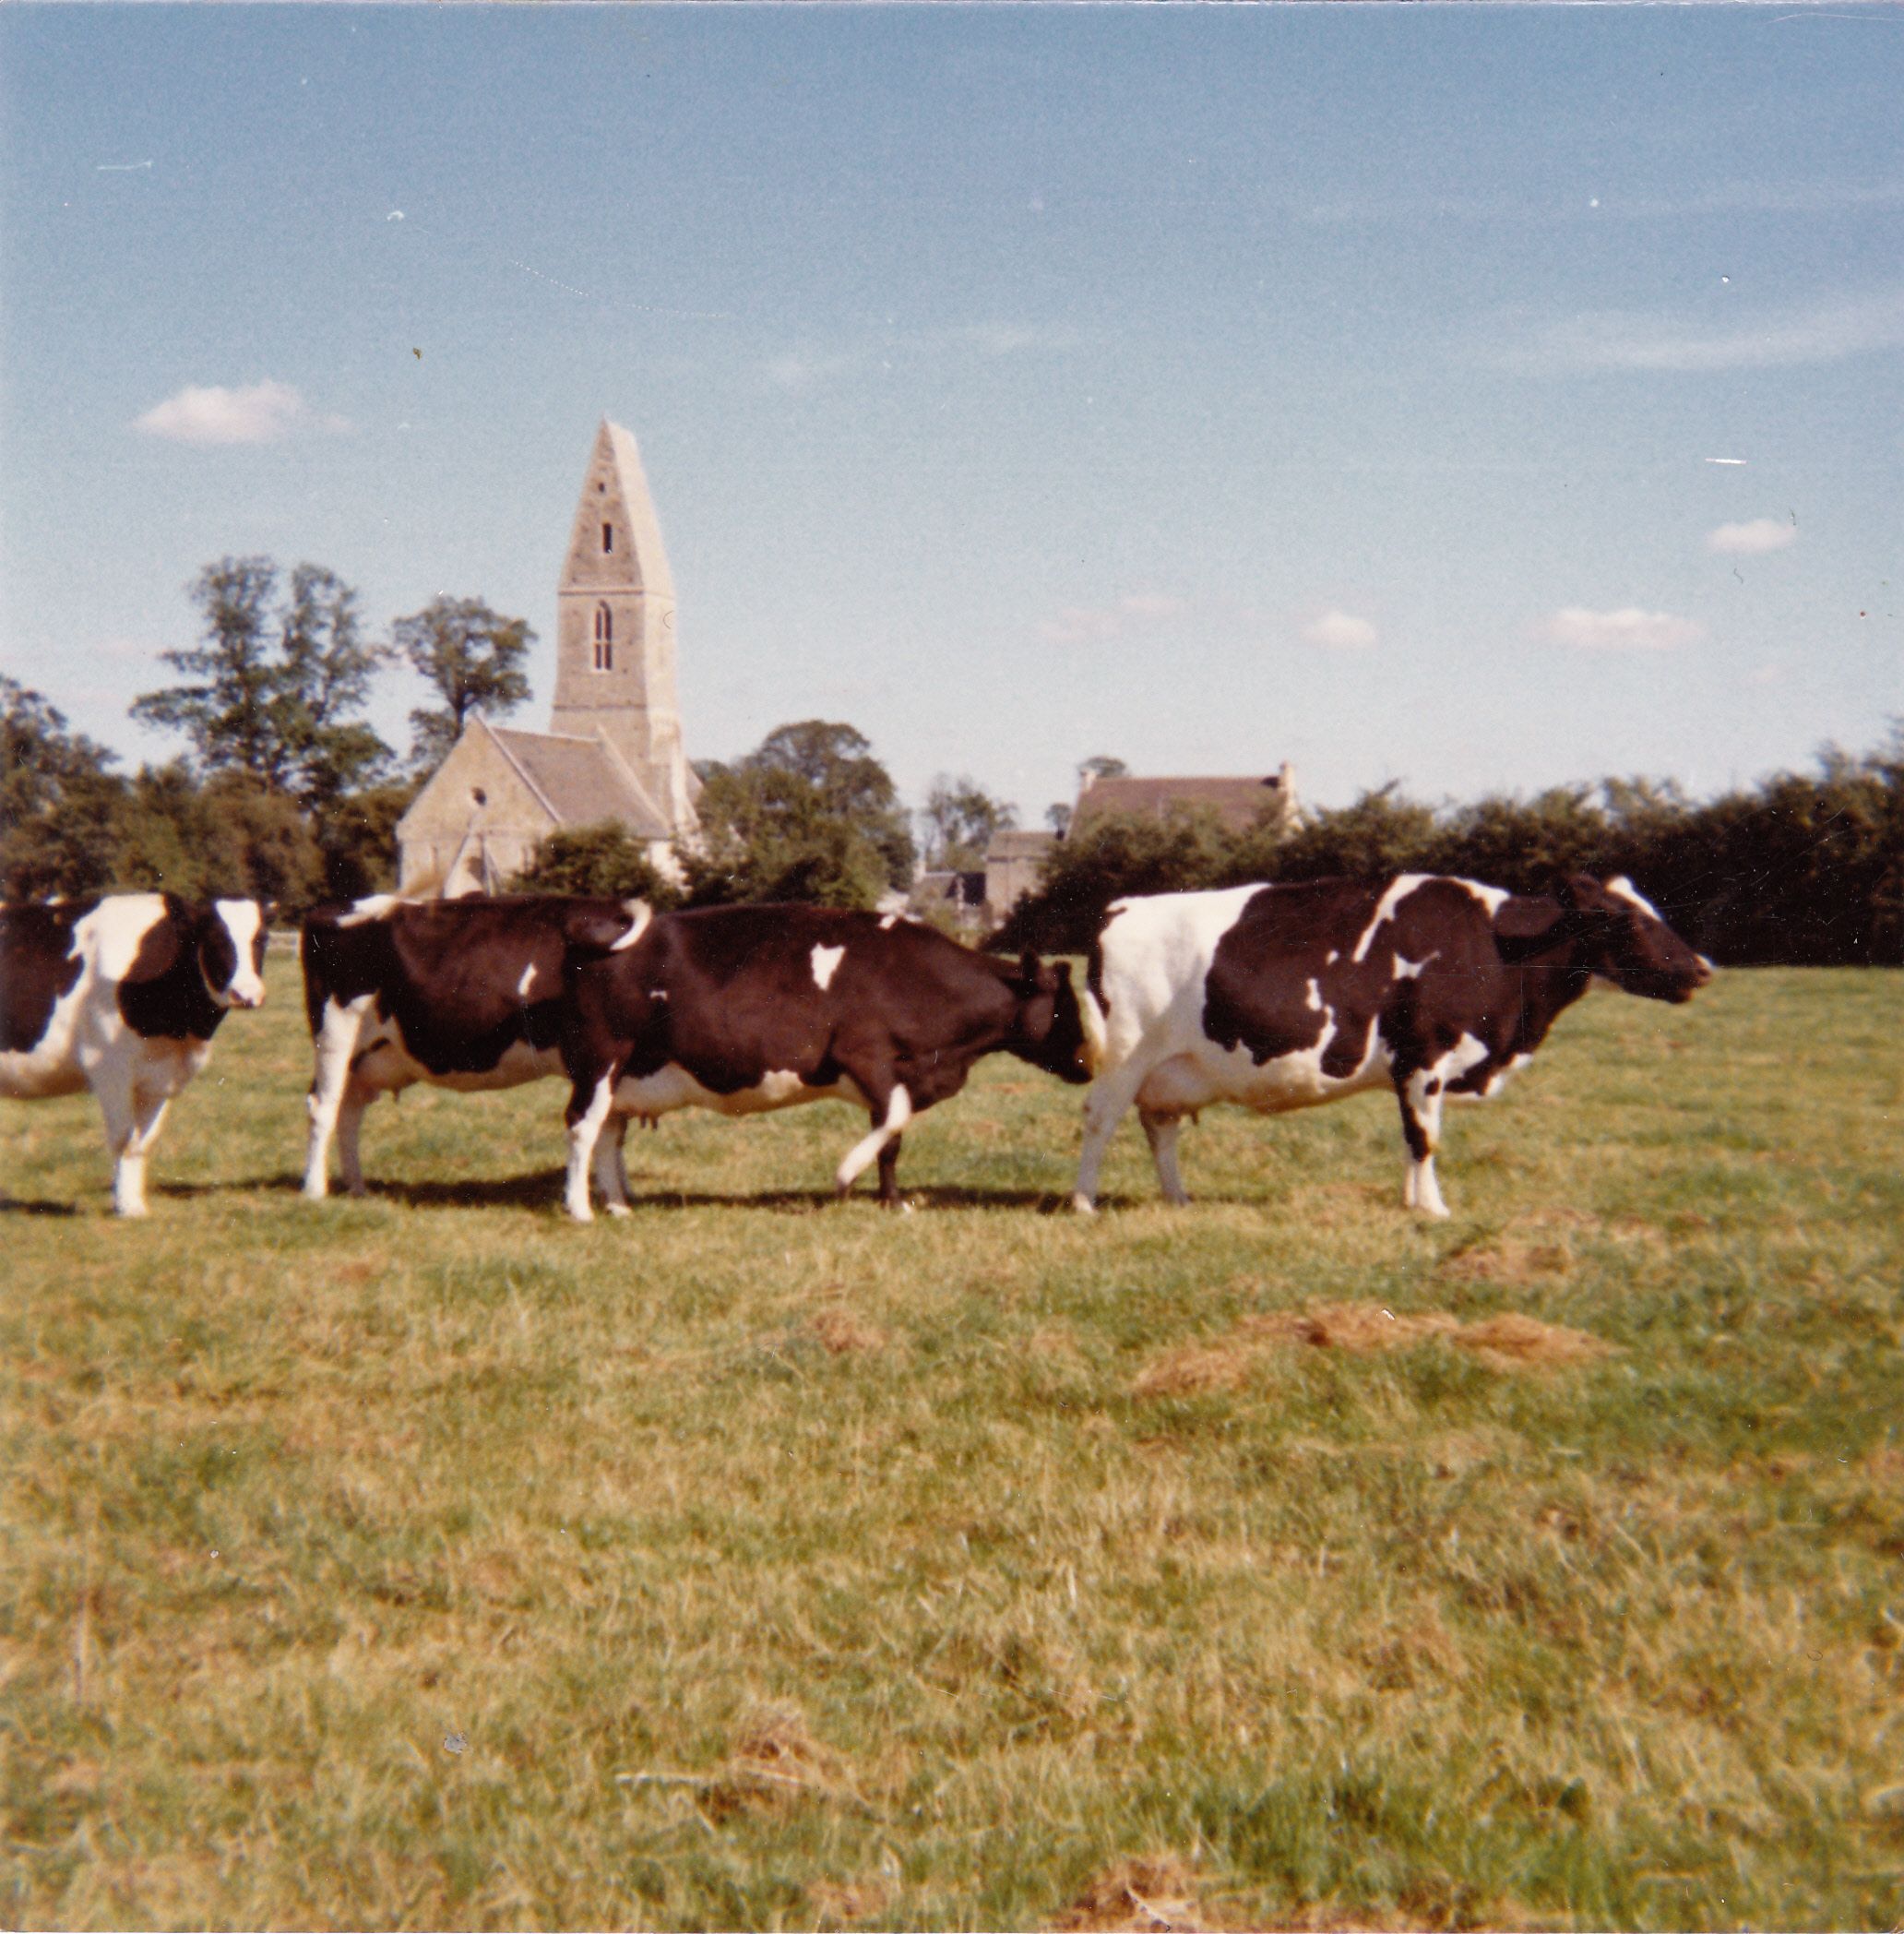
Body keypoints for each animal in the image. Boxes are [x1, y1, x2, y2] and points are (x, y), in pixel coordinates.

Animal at [1, 894, 268, 1215]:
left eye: (261, 938)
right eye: (216, 937)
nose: (247, 993)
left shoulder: (160, 1079)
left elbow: (144, 1142)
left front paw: (133, 1202)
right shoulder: (109, 1068)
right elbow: (123, 1138)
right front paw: (126, 1206)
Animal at [299, 893, 650, 1202]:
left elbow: (614, 1128)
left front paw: (620, 1191)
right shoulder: (602, 1056)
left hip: (364, 1057)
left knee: (349, 1110)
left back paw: (356, 1187)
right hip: (335, 1034)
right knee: (323, 1105)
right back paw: (315, 1189)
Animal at [557, 904, 1093, 1221]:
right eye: (1064, 1006)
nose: (1088, 1065)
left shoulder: (897, 1076)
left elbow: (891, 1140)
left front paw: (892, 1200)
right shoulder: (865, 1054)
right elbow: (893, 1122)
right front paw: (845, 1174)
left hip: (627, 1072)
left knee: (607, 1132)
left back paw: (619, 1206)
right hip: (601, 1056)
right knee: (582, 1126)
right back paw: (580, 1208)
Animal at [1071, 872, 1713, 1218]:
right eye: (1629, 921)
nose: (1703, 969)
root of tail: (1119, 909)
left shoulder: (1413, 1070)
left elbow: (1413, 1137)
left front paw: (1412, 1202)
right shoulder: (1427, 1057)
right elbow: (1426, 1138)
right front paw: (1435, 1208)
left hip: (1169, 1071)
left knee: (1160, 1130)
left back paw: (1178, 1199)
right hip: (1124, 1057)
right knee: (1099, 1121)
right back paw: (1083, 1201)